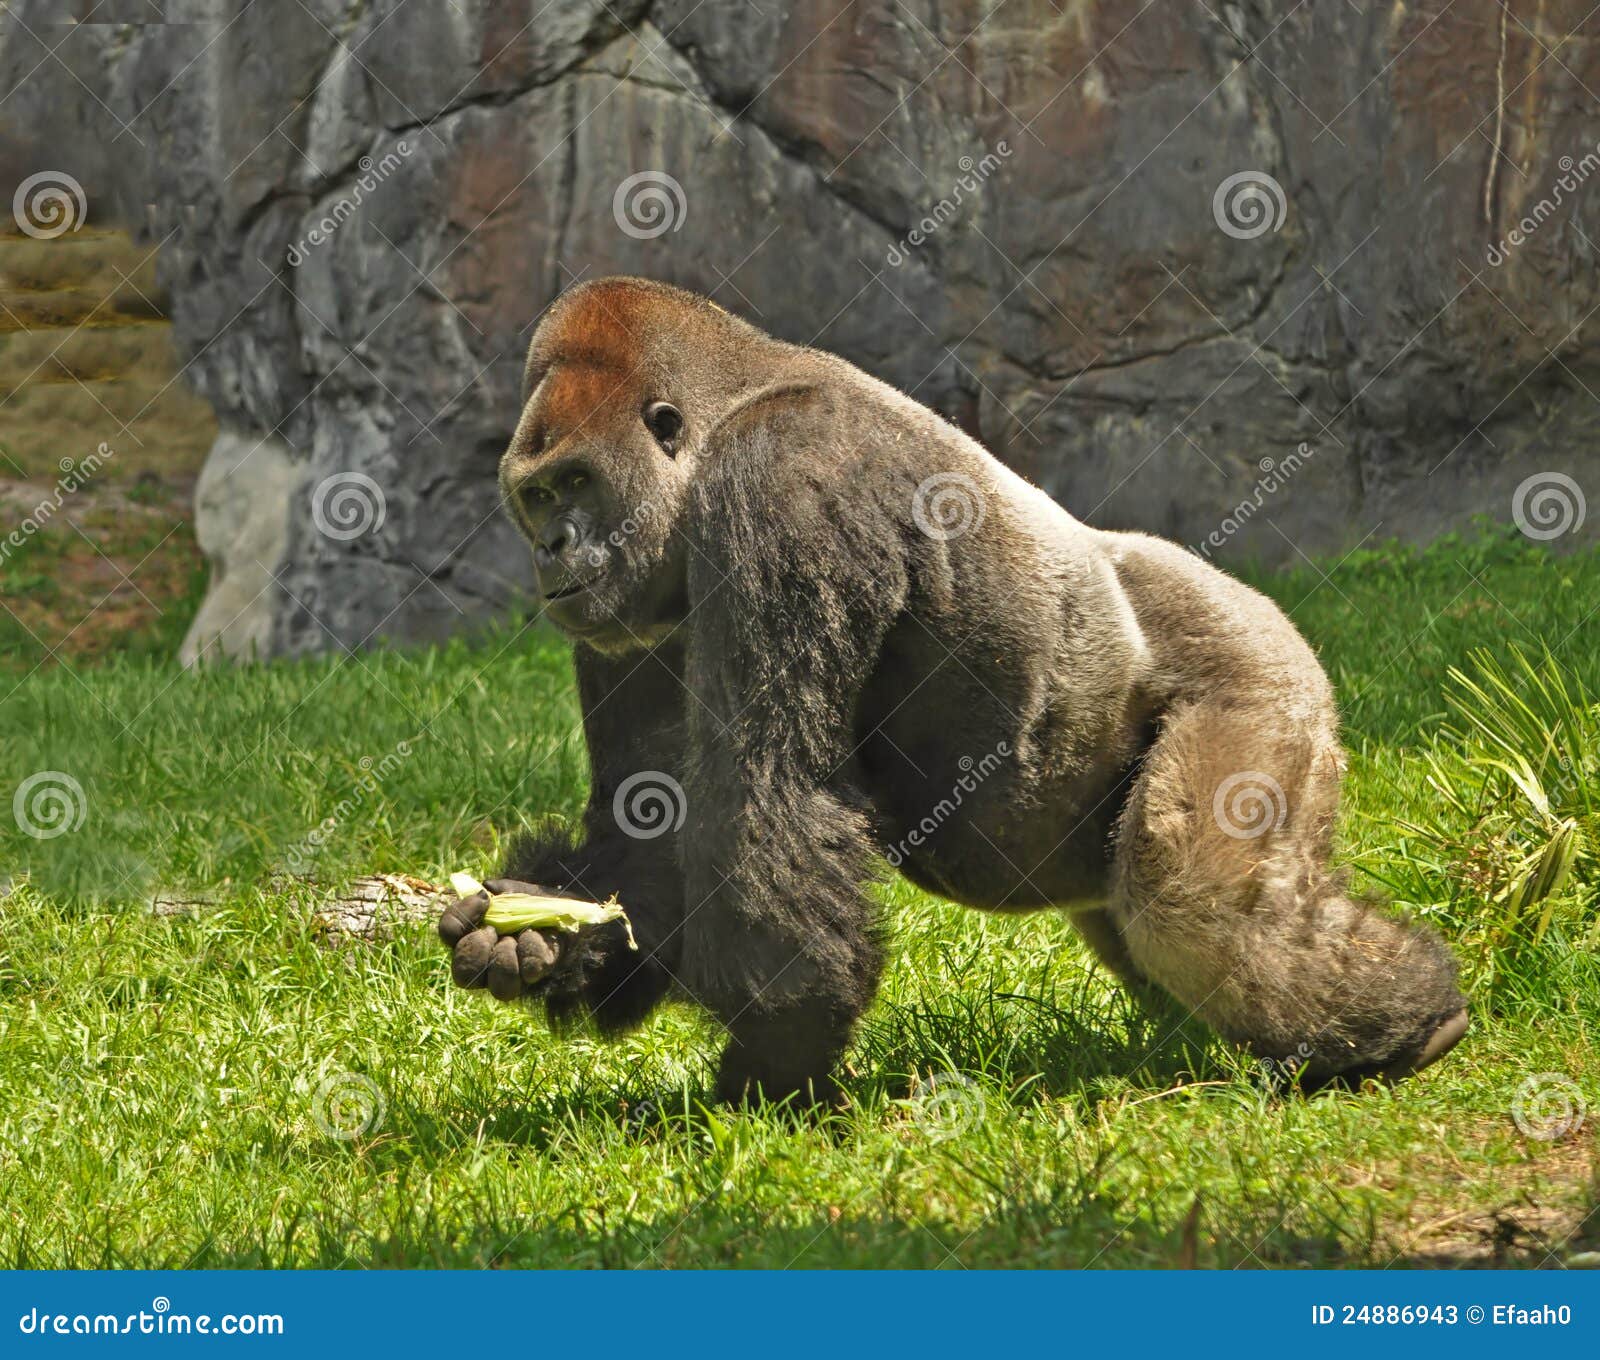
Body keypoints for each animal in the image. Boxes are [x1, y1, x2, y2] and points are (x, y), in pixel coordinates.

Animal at [438, 276, 1469, 1106]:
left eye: (577, 483)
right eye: (536, 496)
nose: (551, 549)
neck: (724, 411)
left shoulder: (783, 478)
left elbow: (768, 792)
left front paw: (772, 1063)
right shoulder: (625, 610)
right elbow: (653, 810)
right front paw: (541, 936)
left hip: (1261, 670)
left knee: (1192, 904)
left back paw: (1412, 1026)